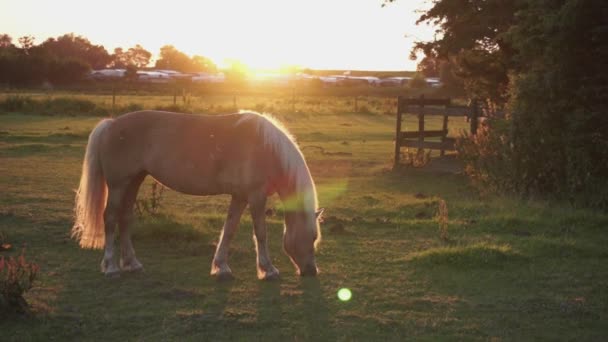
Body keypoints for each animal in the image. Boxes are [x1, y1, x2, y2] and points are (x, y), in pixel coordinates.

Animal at [71, 111, 324, 280]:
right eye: (312, 237)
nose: (311, 271)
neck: (266, 149)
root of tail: (111, 124)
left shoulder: (240, 196)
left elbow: (229, 229)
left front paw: (221, 267)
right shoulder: (255, 196)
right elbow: (260, 233)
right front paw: (268, 270)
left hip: (133, 181)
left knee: (125, 219)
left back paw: (132, 263)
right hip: (118, 185)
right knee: (110, 219)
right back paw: (111, 266)